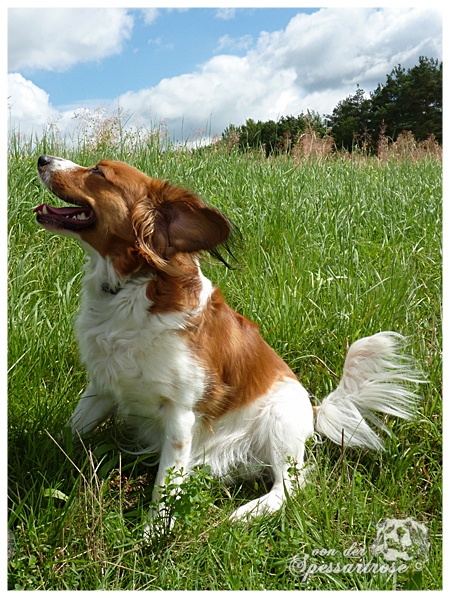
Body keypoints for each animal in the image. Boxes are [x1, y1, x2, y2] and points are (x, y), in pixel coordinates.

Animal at [34, 157, 418, 528]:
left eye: (99, 172)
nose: (41, 158)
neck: (134, 286)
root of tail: (314, 409)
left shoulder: (180, 414)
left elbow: (164, 487)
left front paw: (152, 535)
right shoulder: (101, 387)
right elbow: (71, 430)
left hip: (279, 419)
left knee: (289, 486)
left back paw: (245, 514)